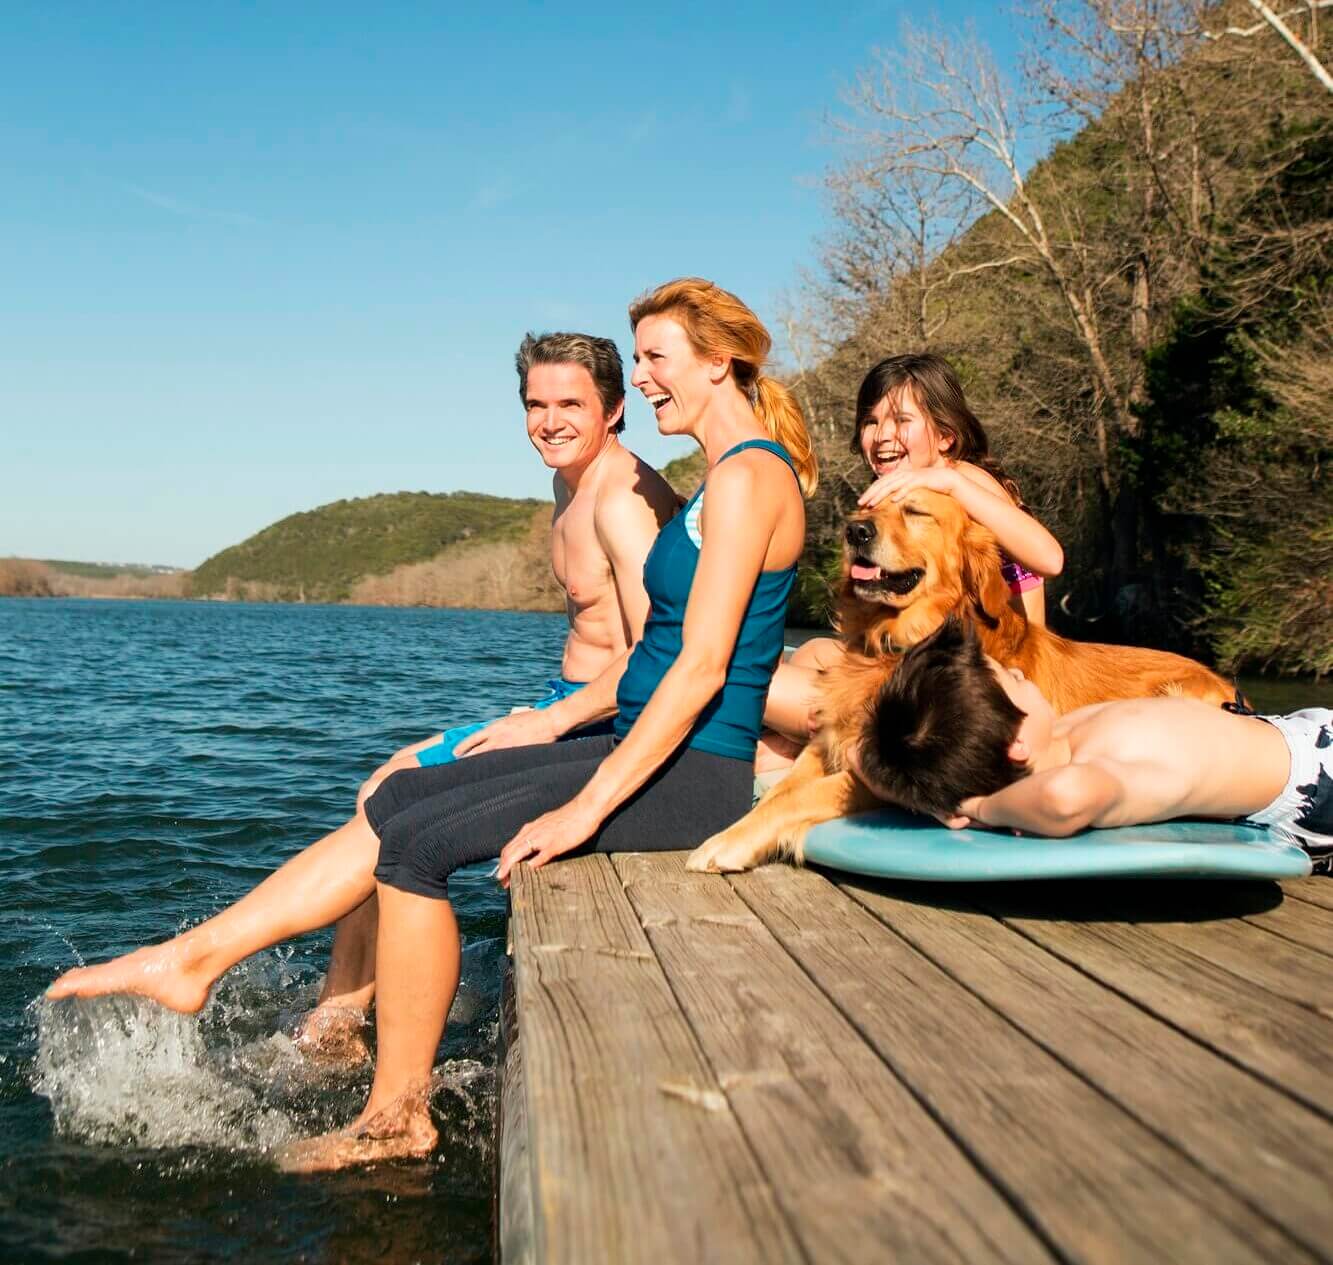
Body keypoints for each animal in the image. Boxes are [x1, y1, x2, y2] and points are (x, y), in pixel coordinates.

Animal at [693, 487, 1231, 874]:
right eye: (868, 507)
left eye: (915, 511)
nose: (854, 530)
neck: (898, 643)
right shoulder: (826, 743)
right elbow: (782, 792)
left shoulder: (880, 770)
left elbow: (798, 799)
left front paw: (727, 843)